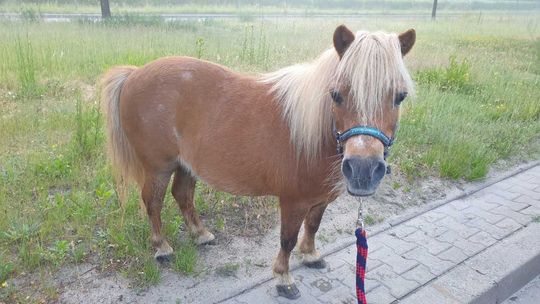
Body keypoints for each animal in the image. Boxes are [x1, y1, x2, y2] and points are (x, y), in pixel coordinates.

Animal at [102, 24, 418, 300]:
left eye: (400, 97)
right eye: (336, 94)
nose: (364, 171)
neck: (314, 132)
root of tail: (134, 74)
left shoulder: (321, 198)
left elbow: (313, 226)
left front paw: (311, 255)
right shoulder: (293, 202)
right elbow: (287, 239)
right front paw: (284, 279)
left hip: (186, 164)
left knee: (182, 194)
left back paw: (201, 234)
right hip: (159, 167)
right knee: (153, 202)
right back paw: (162, 247)